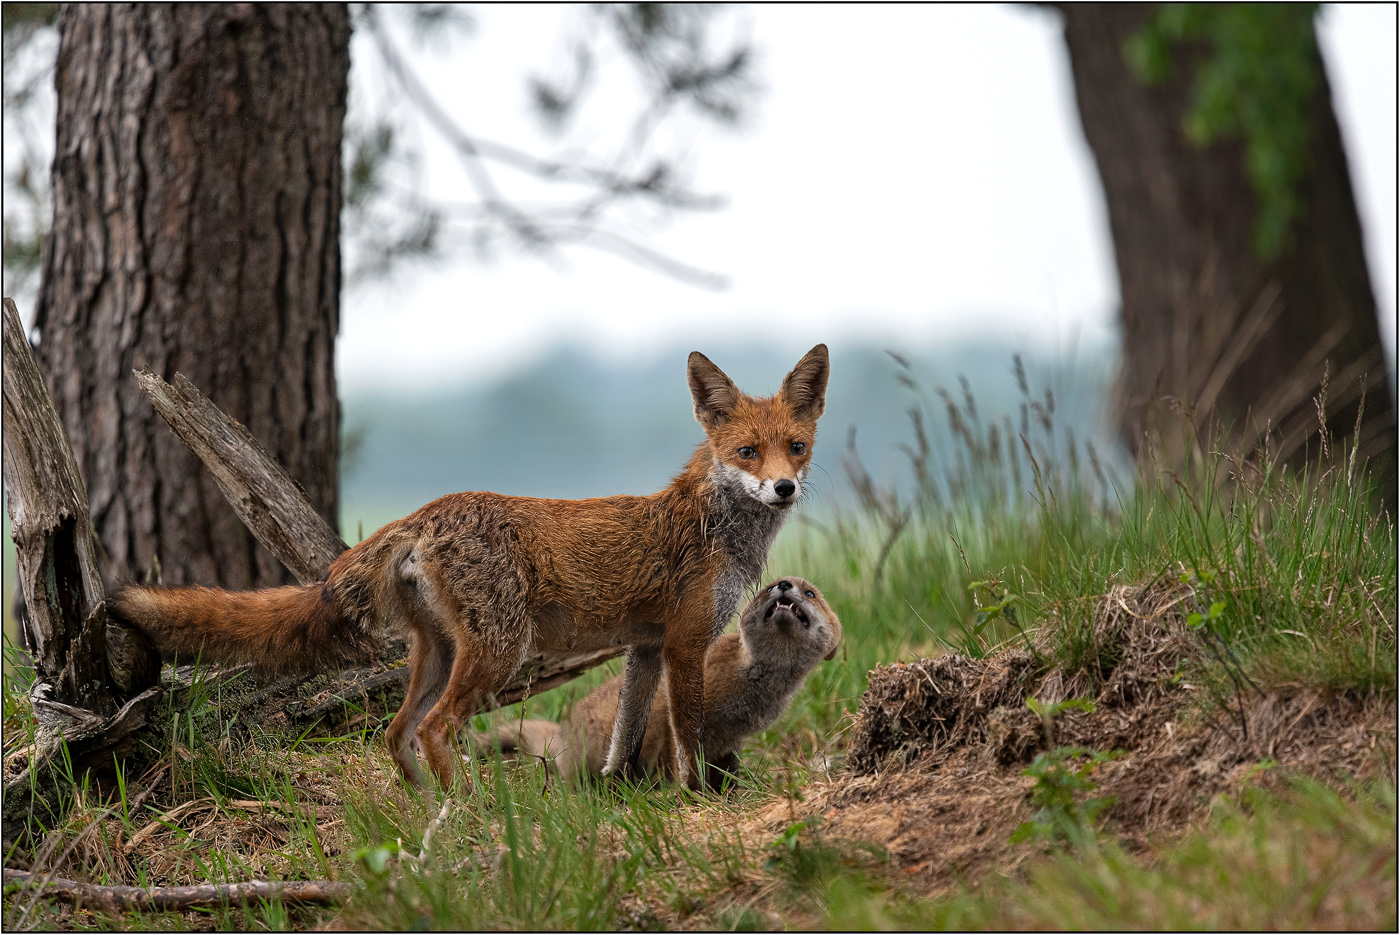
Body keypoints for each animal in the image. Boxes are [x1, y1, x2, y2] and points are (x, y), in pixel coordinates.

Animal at [114, 342, 828, 789]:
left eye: (796, 448)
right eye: (747, 451)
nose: (784, 488)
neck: (718, 526)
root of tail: (425, 511)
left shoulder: (645, 648)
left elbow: (624, 737)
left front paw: (619, 795)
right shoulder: (684, 644)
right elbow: (686, 737)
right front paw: (688, 798)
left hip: (438, 653)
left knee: (395, 733)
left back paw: (427, 815)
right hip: (498, 653)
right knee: (434, 731)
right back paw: (466, 812)